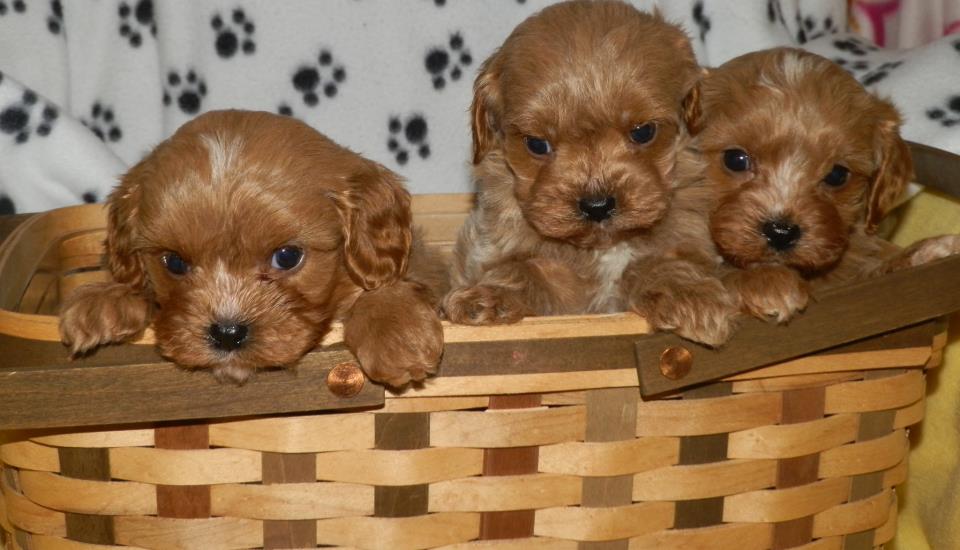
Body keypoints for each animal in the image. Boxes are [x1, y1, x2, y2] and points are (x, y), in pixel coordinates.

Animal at [62, 110, 444, 388]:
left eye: (287, 257)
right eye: (174, 263)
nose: (227, 334)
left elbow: (384, 288)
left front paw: (395, 333)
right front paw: (104, 300)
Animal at [442, 0, 736, 348]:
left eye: (643, 132)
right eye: (537, 144)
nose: (597, 206)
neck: (602, 249)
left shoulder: (687, 231)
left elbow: (668, 259)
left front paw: (692, 297)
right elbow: (523, 269)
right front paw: (487, 296)